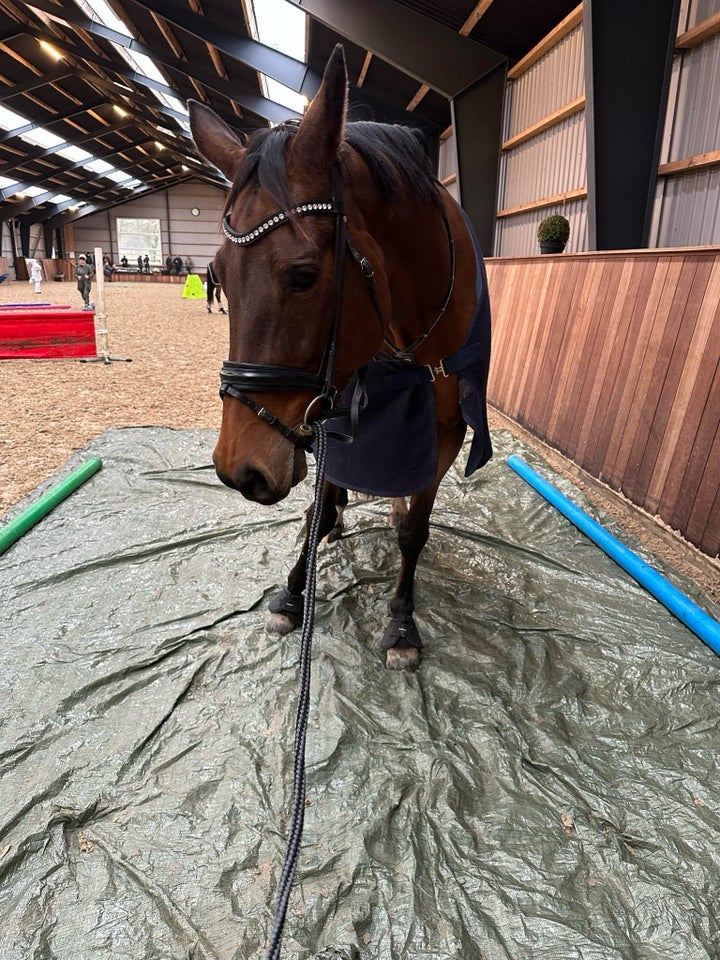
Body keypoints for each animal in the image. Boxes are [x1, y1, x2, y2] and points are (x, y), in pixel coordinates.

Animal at [188, 47, 492, 676]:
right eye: (220, 275)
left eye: (304, 275)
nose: (238, 469)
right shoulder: (329, 411)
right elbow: (320, 509)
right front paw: (293, 591)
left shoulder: (447, 430)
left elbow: (415, 530)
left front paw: (401, 623)